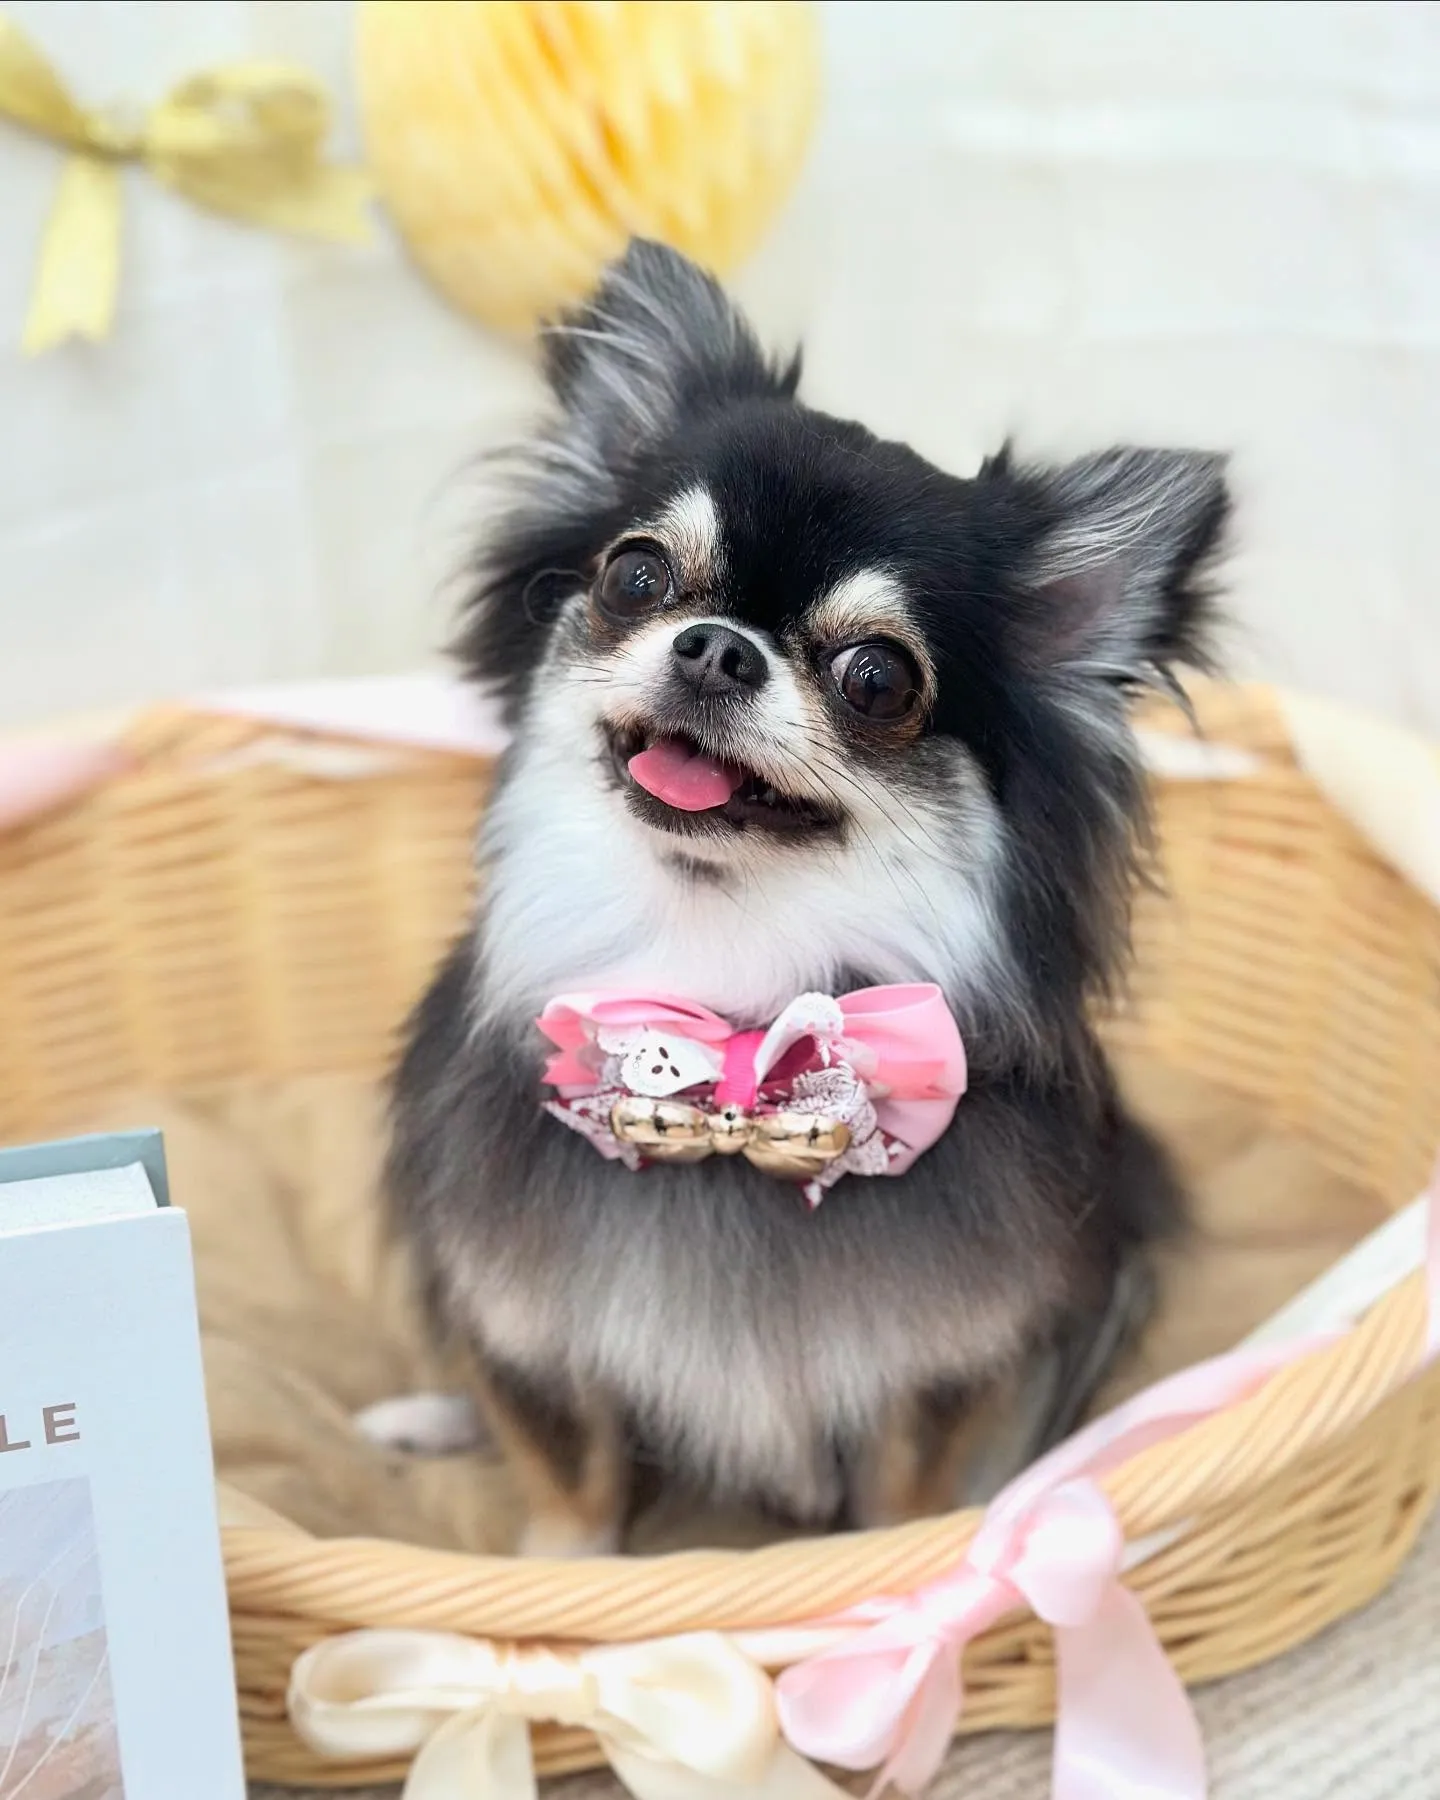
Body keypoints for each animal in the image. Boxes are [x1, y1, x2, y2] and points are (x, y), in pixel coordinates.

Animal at [377, 240, 1229, 1555]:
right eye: (637, 576)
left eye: (876, 678)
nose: (718, 646)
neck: (722, 974)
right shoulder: (529, 1321)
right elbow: (572, 1481)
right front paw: (561, 1574)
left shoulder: (941, 1357)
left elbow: (904, 1488)